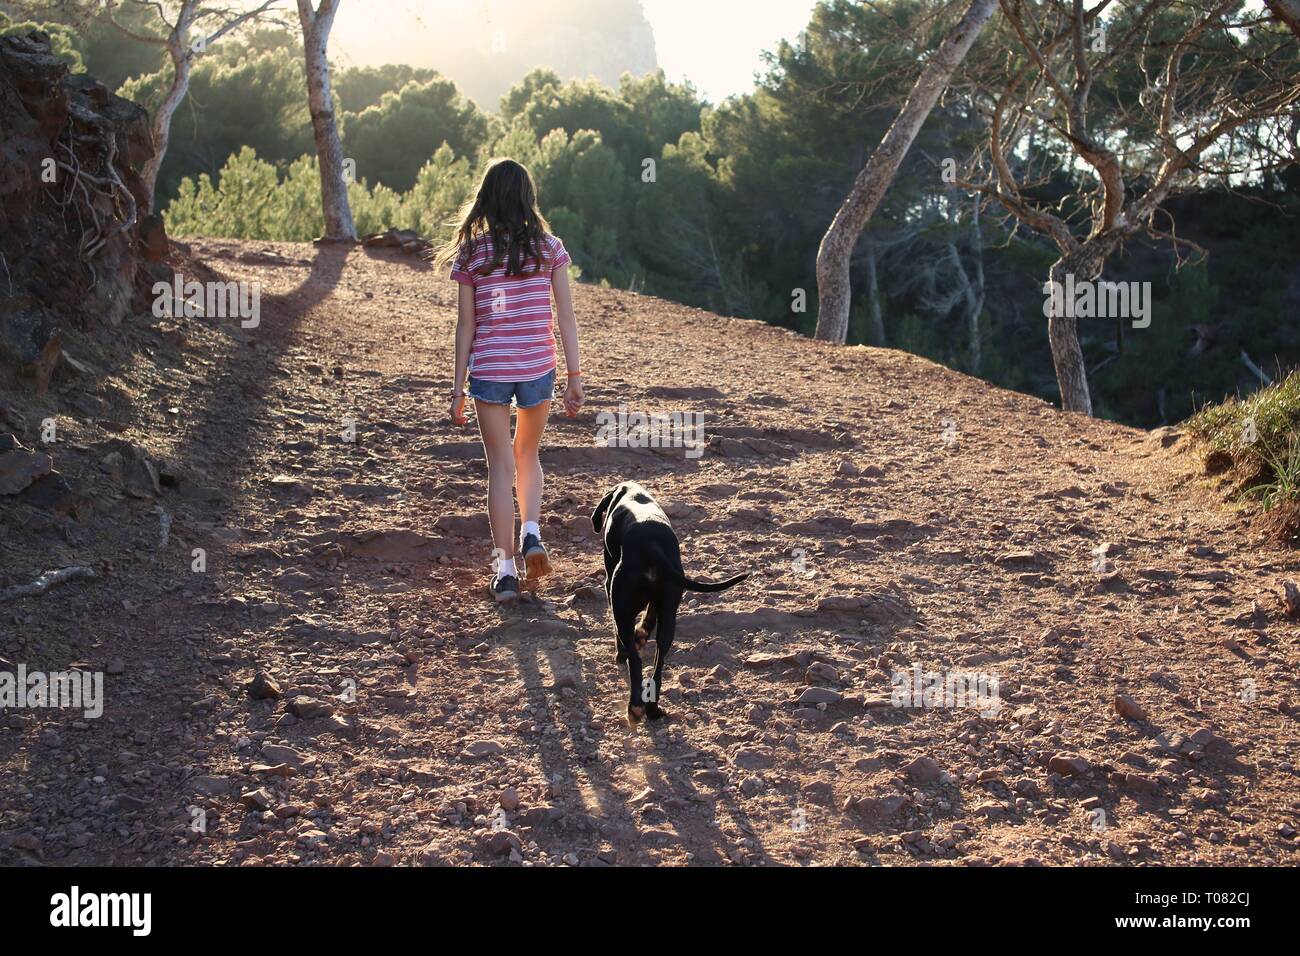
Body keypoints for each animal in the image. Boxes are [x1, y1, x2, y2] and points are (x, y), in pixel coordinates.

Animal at [595, 481, 748, 728]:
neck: (630, 492)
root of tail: (651, 546)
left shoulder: (610, 583)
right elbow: (649, 616)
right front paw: (643, 631)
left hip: (621, 606)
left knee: (635, 662)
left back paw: (634, 707)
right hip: (668, 617)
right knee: (658, 665)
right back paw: (652, 708)